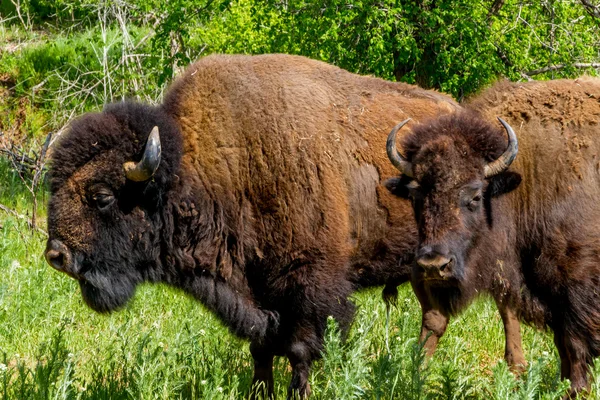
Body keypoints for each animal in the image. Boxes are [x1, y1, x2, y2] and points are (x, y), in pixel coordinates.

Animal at [44, 53, 464, 396]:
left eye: (101, 196)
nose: (56, 255)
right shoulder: (257, 293)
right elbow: (261, 349)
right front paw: (260, 392)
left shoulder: (310, 286)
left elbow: (300, 349)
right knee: (434, 319)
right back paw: (414, 372)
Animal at [386, 77, 600, 394]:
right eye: (415, 196)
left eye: (475, 196)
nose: (434, 265)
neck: (526, 180)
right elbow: (563, 346)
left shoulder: (576, 288)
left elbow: (575, 346)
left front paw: (577, 390)